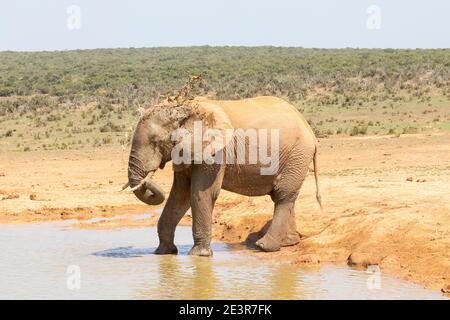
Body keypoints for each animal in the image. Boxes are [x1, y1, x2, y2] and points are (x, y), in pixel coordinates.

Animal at [125, 95, 322, 258]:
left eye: (156, 142)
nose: (148, 181)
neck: (187, 110)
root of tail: (309, 129)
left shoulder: (215, 152)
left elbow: (201, 193)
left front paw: (199, 255)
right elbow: (180, 195)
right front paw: (164, 253)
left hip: (297, 154)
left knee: (283, 195)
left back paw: (263, 246)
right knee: (285, 197)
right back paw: (288, 243)